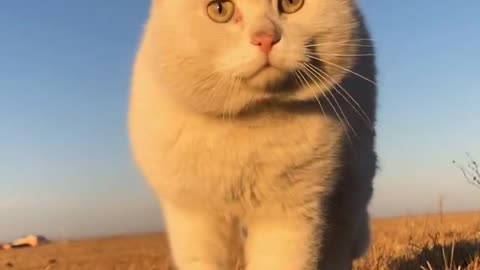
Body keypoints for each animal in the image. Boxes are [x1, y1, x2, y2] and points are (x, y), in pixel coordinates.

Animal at [129, 0, 376, 270]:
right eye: (219, 10)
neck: (250, 123)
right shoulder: (195, 216)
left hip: (351, 191)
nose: (265, 38)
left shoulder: (290, 215)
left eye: (291, 3)